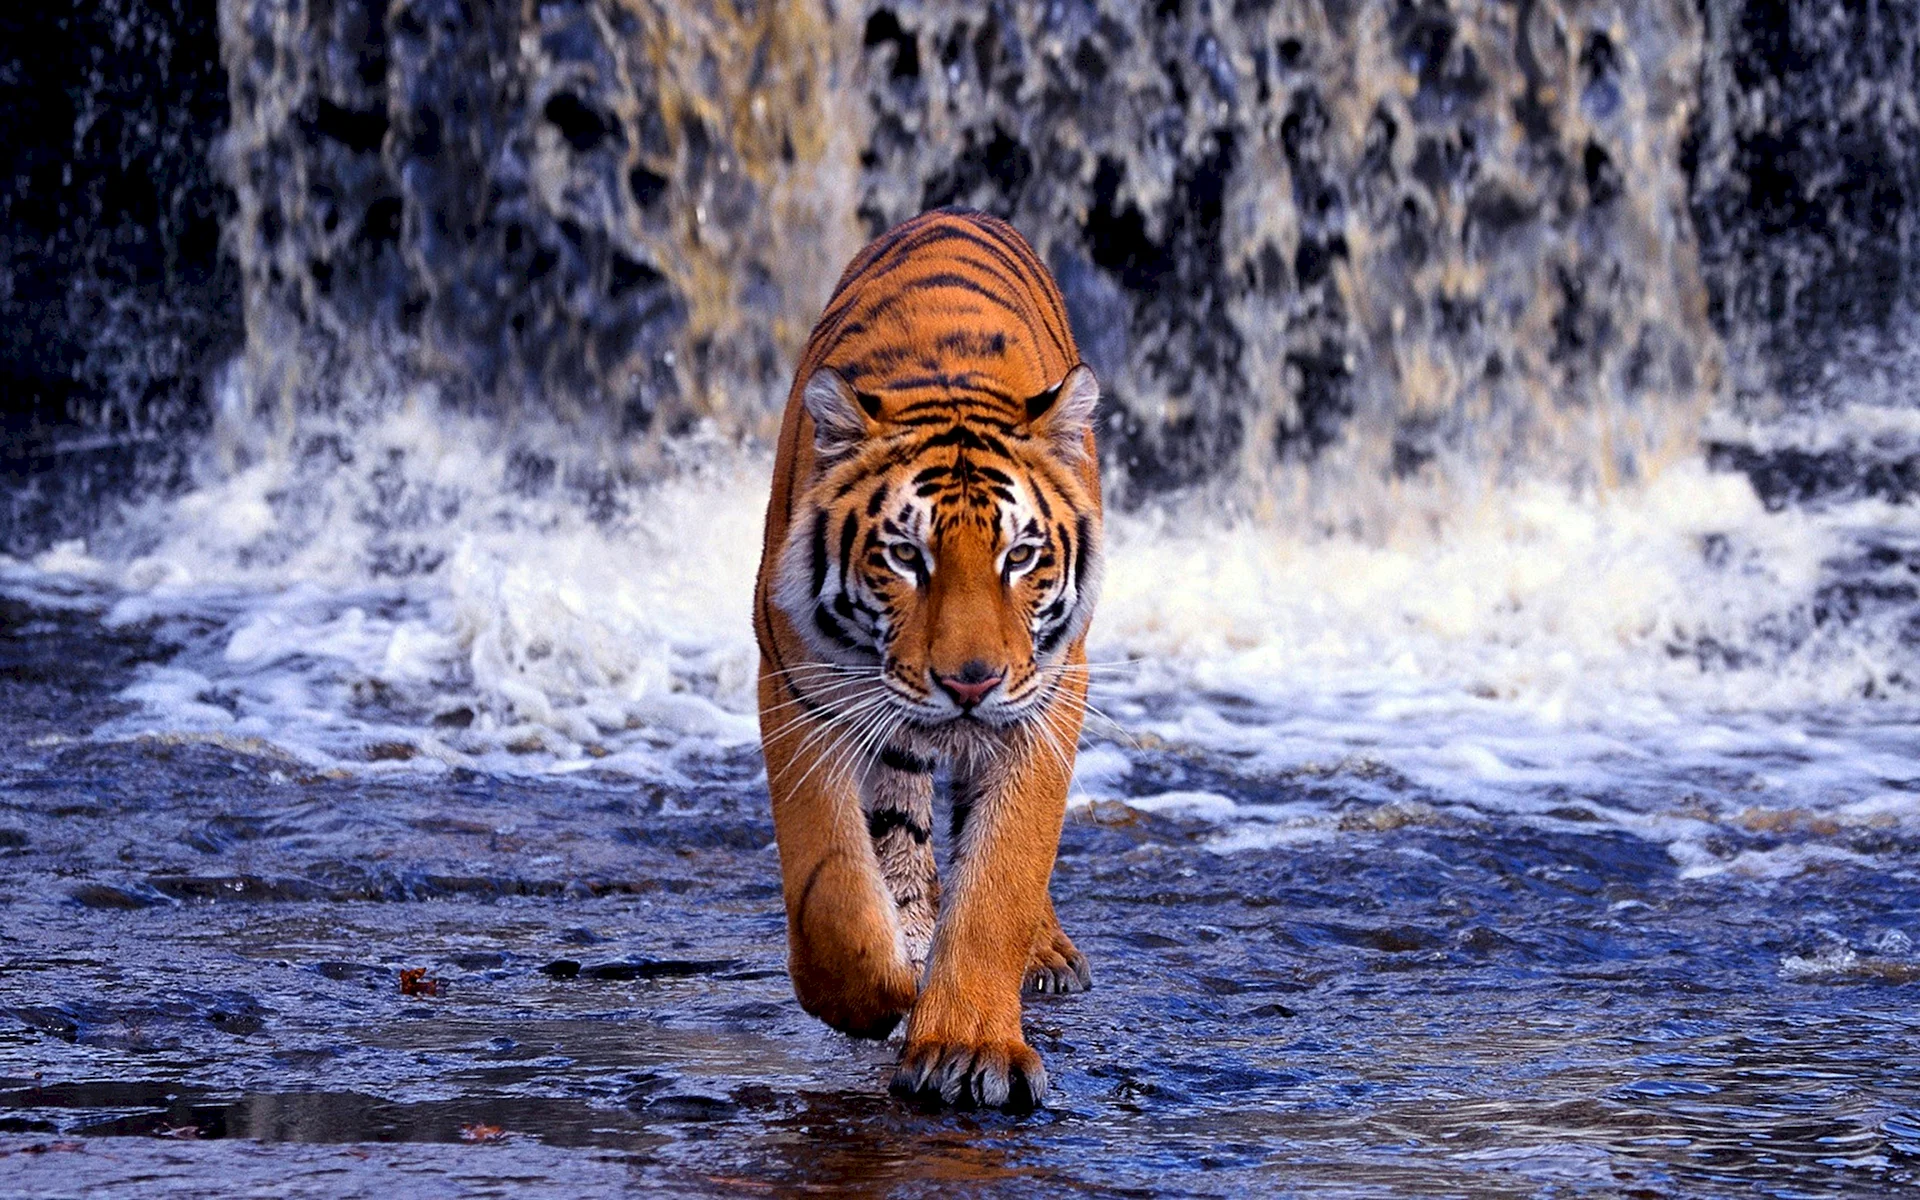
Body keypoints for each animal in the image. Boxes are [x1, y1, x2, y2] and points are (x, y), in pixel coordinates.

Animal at [752, 203, 1113, 1105]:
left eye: (1020, 556)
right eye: (905, 556)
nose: (971, 684)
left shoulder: (1048, 696)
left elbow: (1003, 876)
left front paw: (969, 1046)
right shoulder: (799, 687)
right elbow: (831, 882)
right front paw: (877, 992)